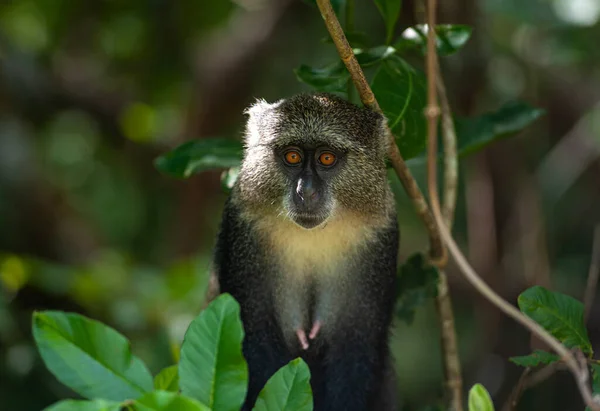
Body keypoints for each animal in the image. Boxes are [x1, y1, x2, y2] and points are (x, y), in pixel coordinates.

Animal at [211, 93, 398, 411]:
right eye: (293, 157)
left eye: (326, 158)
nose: (306, 191)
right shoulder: (243, 229)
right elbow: (256, 344)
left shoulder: (379, 239)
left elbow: (355, 350)